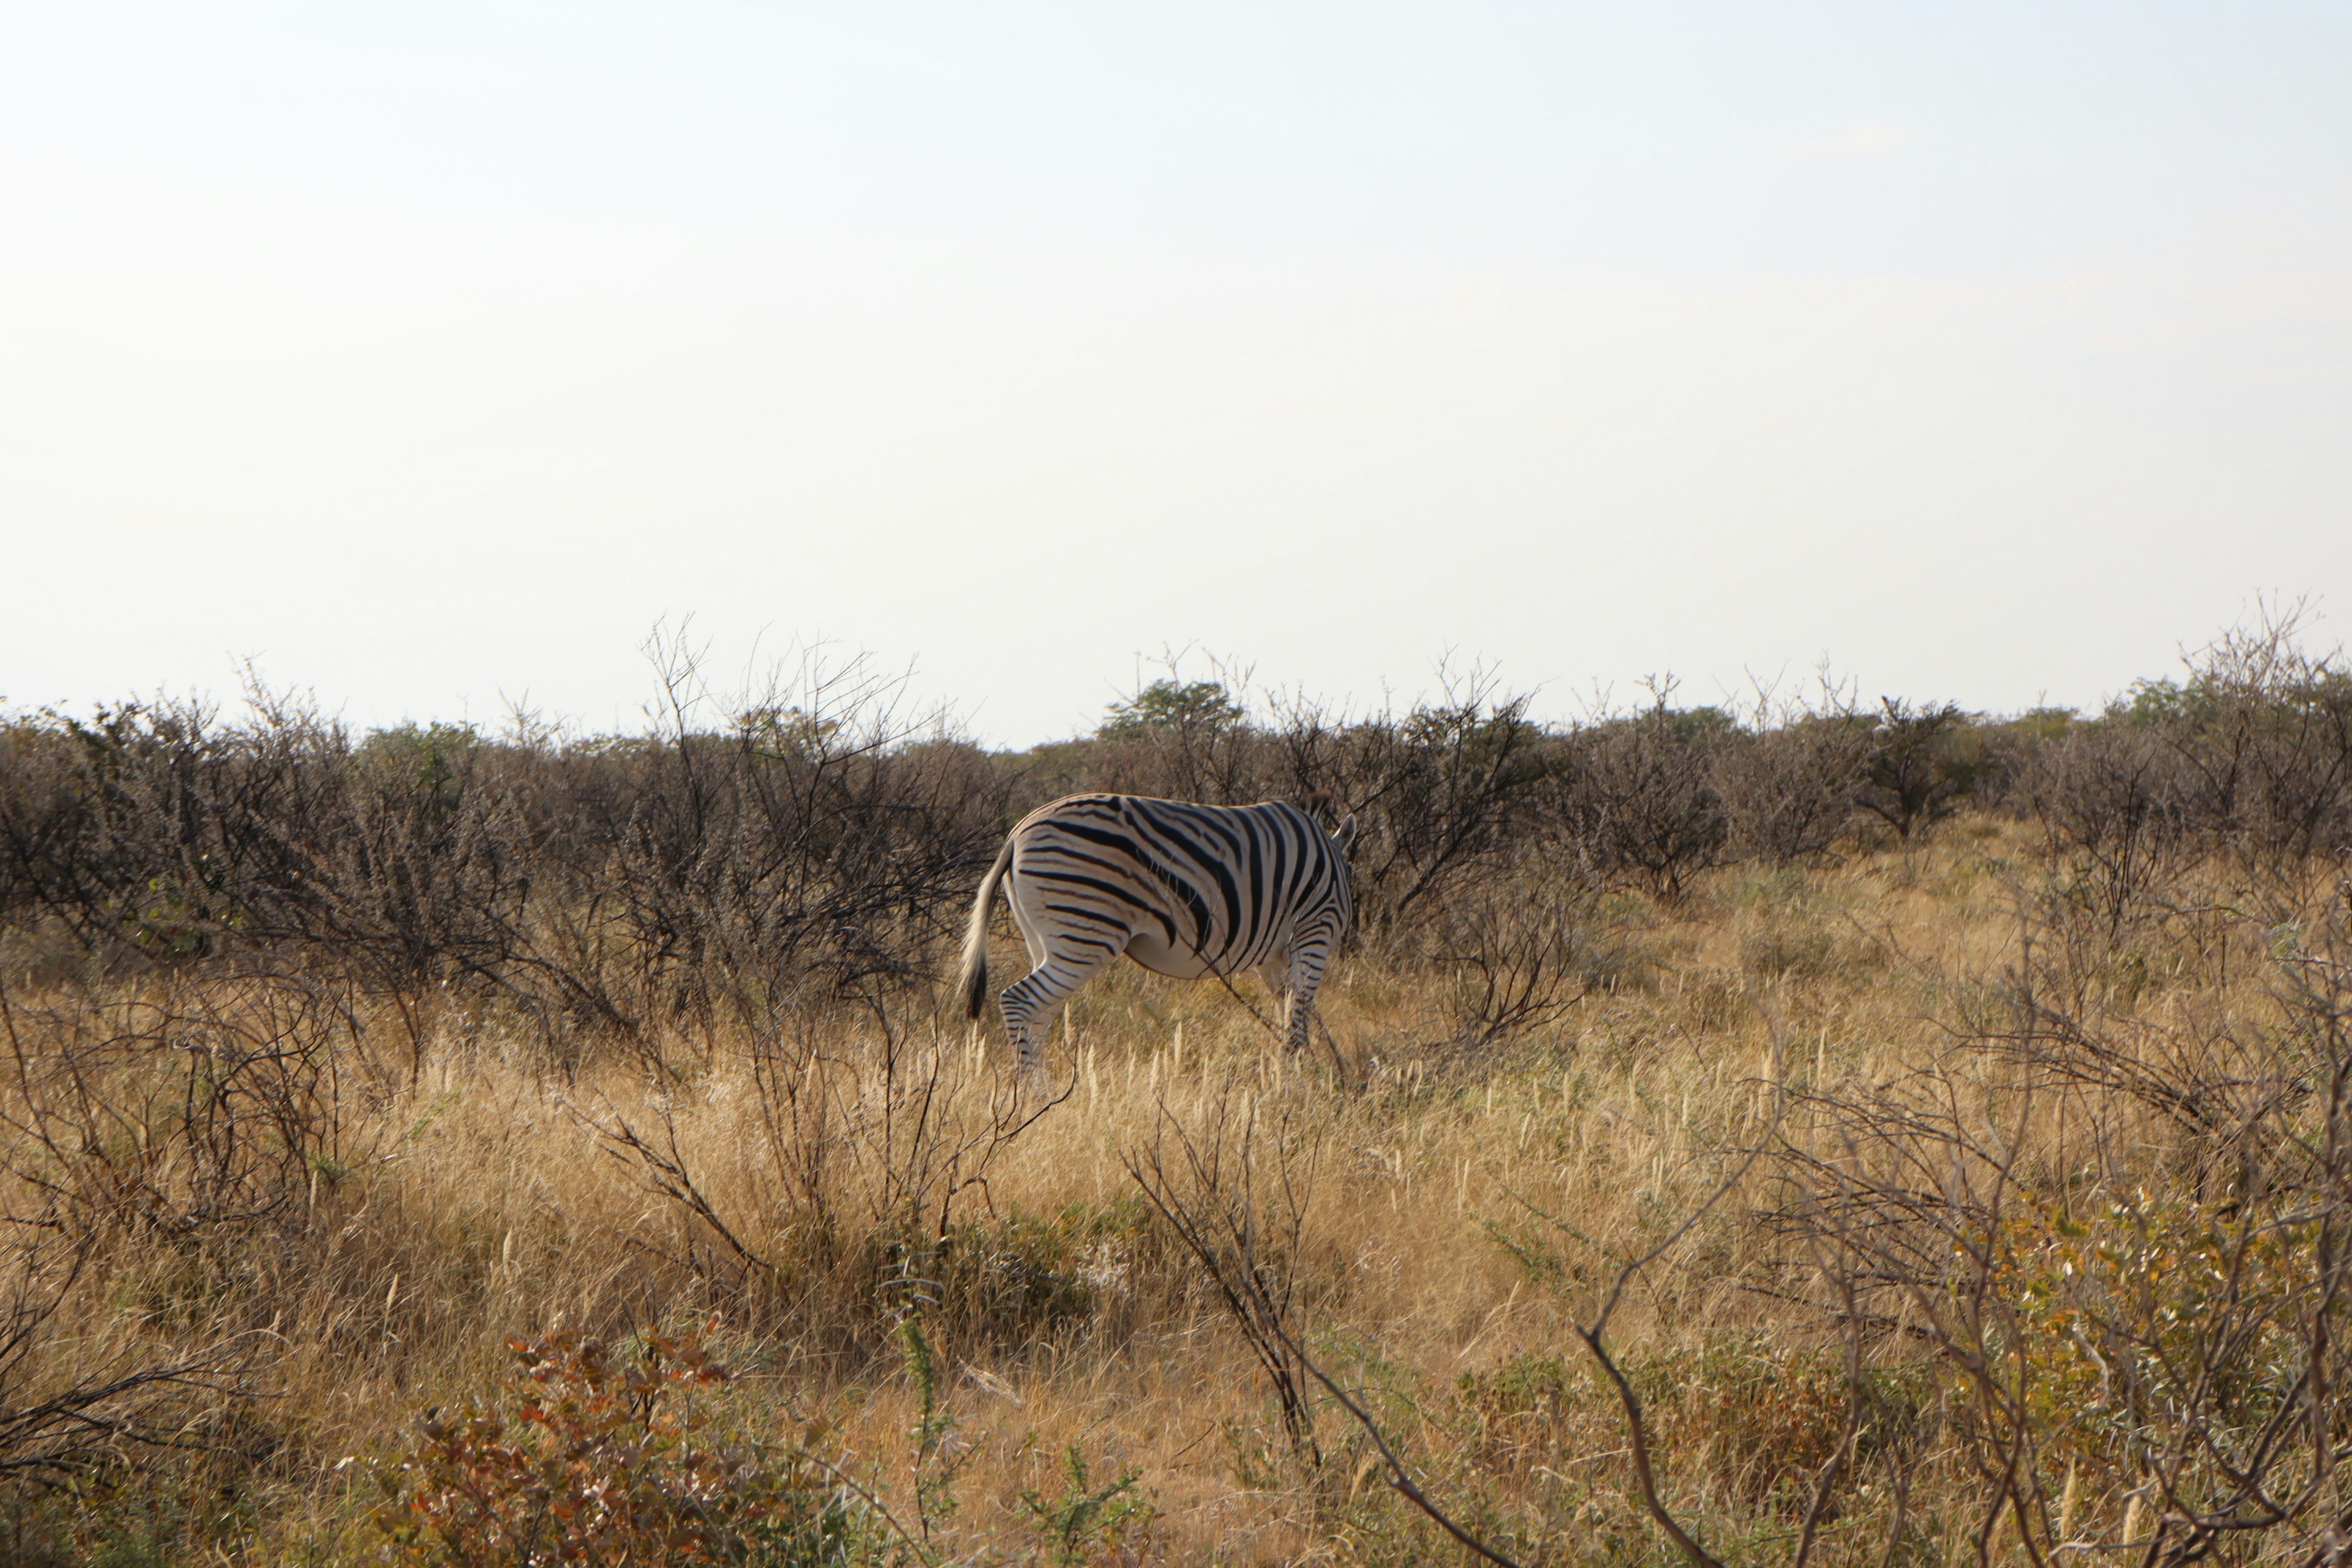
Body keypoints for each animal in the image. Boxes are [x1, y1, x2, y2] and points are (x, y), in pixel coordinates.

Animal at [955, 790, 1364, 1072]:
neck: (1331, 857)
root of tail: (1017, 834)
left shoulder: (1275, 956)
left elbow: (1289, 1009)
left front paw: (1297, 1068)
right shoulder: (1316, 930)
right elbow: (1300, 1012)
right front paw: (1297, 1077)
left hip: (1044, 939)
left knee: (1038, 1016)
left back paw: (1044, 1097)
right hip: (1086, 933)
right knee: (1019, 1001)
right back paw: (1032, 1102)